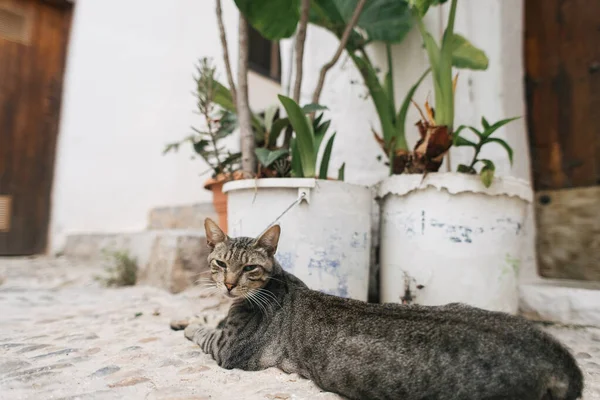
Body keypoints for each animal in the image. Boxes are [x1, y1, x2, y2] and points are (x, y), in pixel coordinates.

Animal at [178, 219, 580, 400]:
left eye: (249, 268)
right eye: (220, 264)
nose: (229, 285)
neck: (277, 283)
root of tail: (558, 356)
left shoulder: (229, 350)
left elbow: (205, 333)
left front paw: (191, 323)